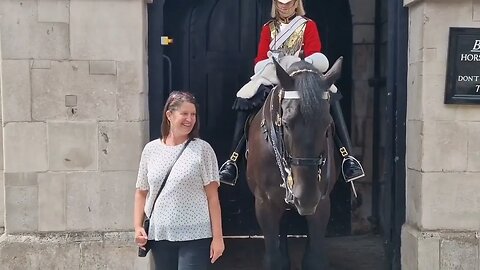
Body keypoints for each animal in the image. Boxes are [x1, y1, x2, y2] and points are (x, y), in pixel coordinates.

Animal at [246, 56, 344, 268]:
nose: (305, 196)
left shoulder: (321, 203)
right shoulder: (265, 204)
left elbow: (315, 259)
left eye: (327, 124)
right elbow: (273, 259)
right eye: (286, 123)